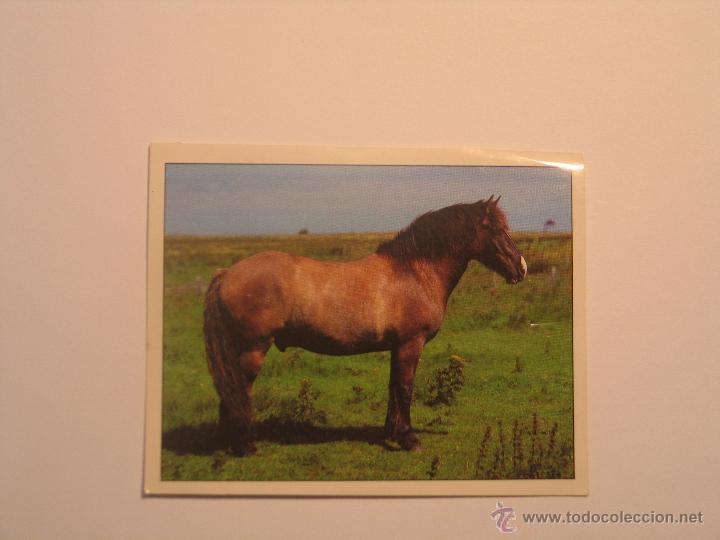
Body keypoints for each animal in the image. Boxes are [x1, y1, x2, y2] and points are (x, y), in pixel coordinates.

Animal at [203, 195, 527, 455]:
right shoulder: (410, 344)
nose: (521, 268)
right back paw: (245, 446)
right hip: (253, 350)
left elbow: (393, 388)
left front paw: (391, 432)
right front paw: (409, 439)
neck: (413, 273)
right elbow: (405, 389)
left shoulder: (397, 347)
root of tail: (226, 273)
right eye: (497, 229)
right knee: (239, 391)